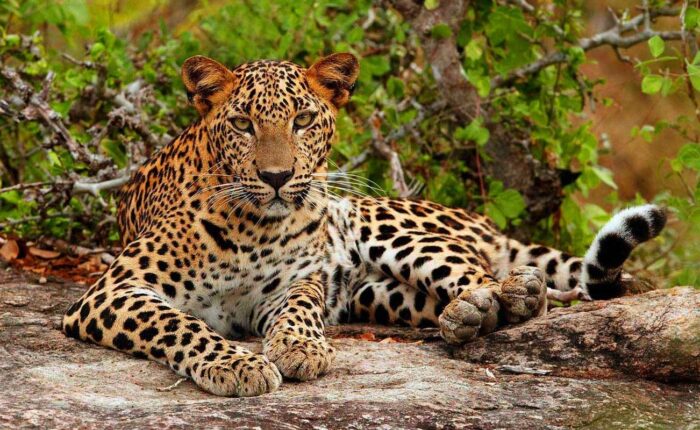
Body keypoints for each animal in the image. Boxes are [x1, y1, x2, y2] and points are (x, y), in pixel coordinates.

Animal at [64, 53, 668, 396]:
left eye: (303, 119)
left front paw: (299, 348)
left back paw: (504, 296)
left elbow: (300, 307)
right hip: (377, 294)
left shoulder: (292, 282)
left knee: (485, 273)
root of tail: (479, 218)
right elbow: (179, 324)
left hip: (380, 222)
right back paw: (469, 316)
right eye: (242, 123)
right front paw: (236, 364)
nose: (278, 177)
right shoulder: (112, 291)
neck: (254, 228)